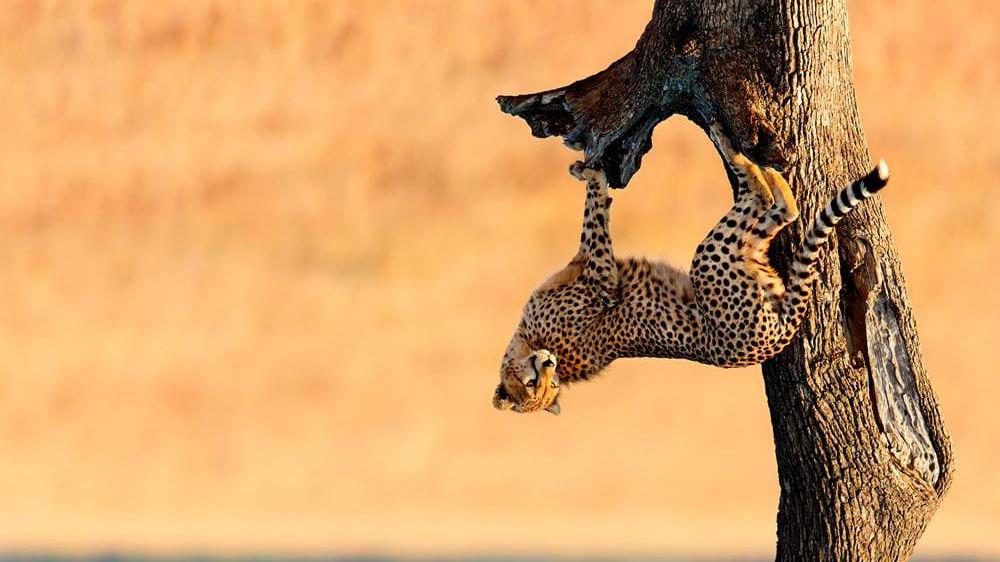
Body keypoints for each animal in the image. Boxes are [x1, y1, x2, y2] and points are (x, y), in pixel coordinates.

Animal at [492, 128, 892, 416]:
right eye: (535, 386)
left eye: (551, 385)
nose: (548, 363)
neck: (526, 341)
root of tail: (773, 339)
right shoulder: (602, 280)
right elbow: (593, 223)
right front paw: (594, 178)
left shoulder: (594, 273)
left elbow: (594, 217)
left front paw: (587, 172)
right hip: (715, 259)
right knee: (774, 206)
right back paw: (740, 151)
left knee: (780, 208)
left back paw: (748, 157)